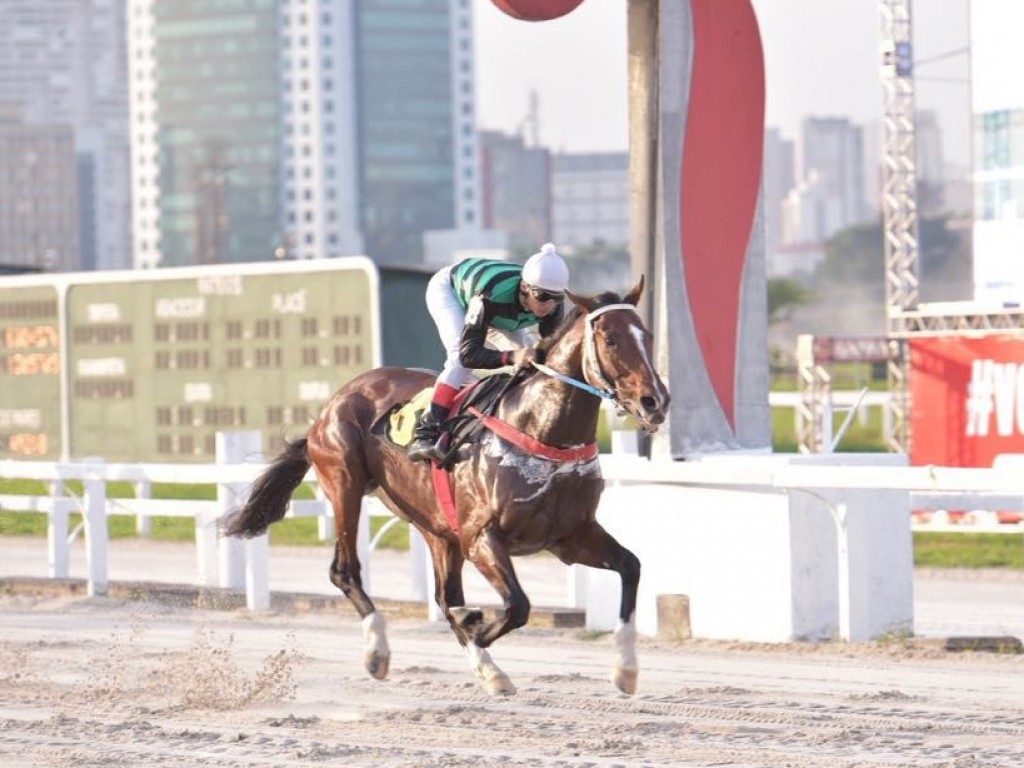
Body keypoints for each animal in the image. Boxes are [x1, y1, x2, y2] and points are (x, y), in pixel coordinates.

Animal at [222, 278, 671, 696]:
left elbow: (631, 567)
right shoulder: (481, 536)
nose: (655, 402)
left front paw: (626, 669)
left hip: (436, 526)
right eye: (610, 339)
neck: (542, 430)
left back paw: (481, 660)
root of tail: (331, 404)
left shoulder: (571, 537)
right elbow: (517, 606)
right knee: (346, 570)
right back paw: (380, 652)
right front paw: (476, 631)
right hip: (344, 483)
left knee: (443, 594)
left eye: (648, 336)